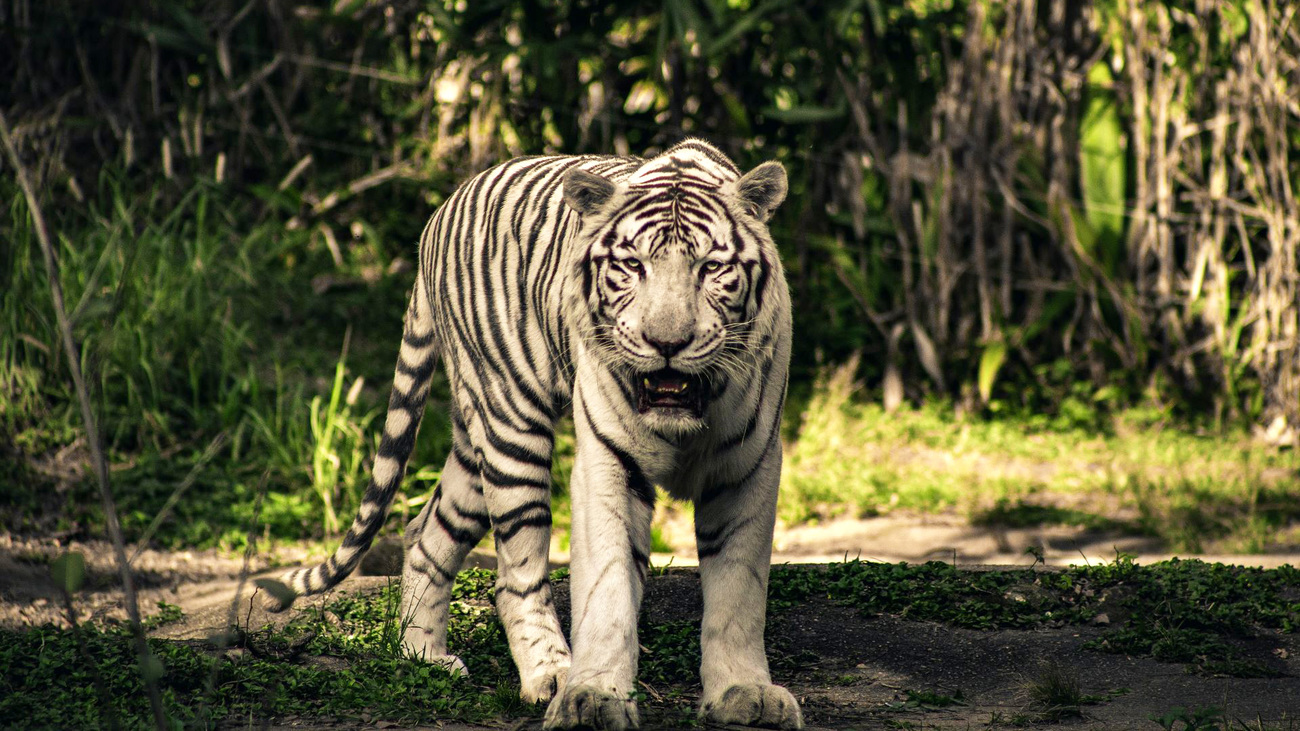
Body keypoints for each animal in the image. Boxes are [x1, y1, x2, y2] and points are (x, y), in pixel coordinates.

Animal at [269, 139, 800, 723]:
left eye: (710, 268)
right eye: (632, 266)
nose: (666, 342)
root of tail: (438, 215)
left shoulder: (748, 465)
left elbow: (739, 592)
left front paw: (743, 693)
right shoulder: (607, 463)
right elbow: (608, 586)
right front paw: (594, 697)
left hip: (472, 439)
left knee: (427, 533)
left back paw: (422, 656)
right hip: (508, 424)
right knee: (514, 576)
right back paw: (550, 674)